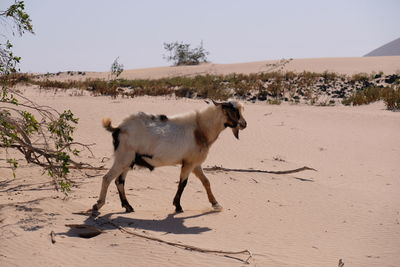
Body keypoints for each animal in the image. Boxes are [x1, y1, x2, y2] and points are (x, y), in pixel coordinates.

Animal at [92, 100, 247, 216]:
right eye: (234, 111)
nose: (244, 124)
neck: (200, 129)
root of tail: (118, 128)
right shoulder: (189, 163)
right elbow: (182, 183)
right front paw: (178, 206)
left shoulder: (195, 163)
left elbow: (206, 182)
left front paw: (216, 204)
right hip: (123, 158)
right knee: (107, 178)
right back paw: (98, 205)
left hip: (128, 161)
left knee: (119, 181)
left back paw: (128, 206)